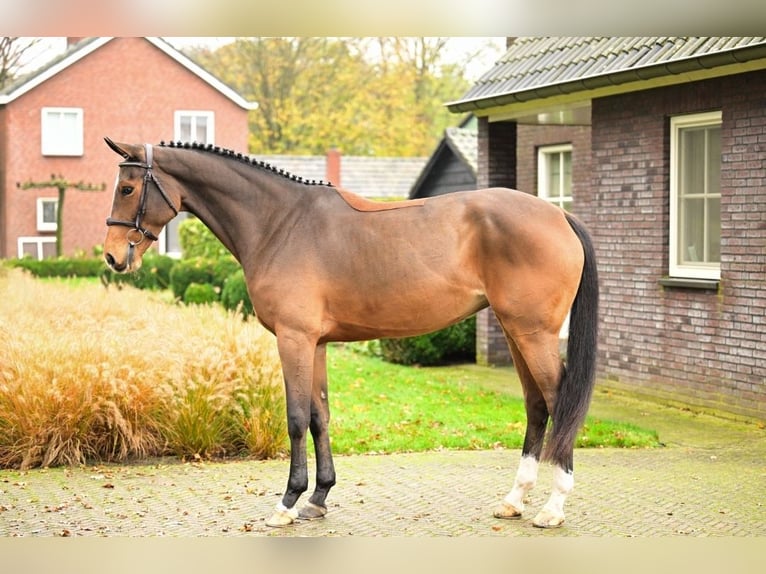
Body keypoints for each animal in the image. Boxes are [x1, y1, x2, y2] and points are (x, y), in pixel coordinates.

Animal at [102, 138, 599, 529]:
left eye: (127, 188)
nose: (111, 256)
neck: (279, 222)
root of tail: (559, 217)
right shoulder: (316, 344)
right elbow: (319, 416)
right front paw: (318, 498)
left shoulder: (294, 339)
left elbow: (296, 418)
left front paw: (287, 502)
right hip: (515, 334)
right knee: (536, 407)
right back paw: (514, 500)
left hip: (533, 334)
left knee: (558, 401)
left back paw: (553, 508)